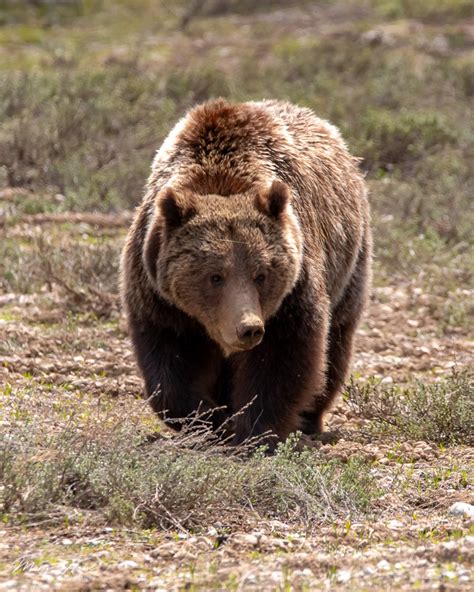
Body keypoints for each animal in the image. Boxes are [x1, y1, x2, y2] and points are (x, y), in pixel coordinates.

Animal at [119, 98, 370, 448]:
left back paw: (311, 419)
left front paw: (253, 431)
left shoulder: (293, 288)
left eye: (261, 274)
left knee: (336, 343)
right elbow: (169, 363)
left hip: (349, 267)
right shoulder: (157, 290)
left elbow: (284, 357)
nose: (248, 328)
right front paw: (211, 420)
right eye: (214, 276)